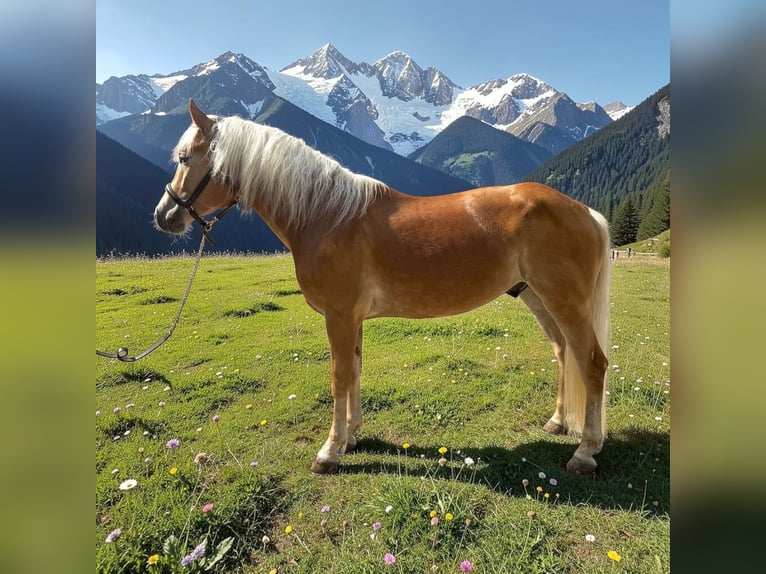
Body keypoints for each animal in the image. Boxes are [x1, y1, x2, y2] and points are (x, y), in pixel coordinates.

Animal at [154, 100, 611, 476]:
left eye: (184, 157)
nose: (164, 215)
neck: (326, 215)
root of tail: (586, 211)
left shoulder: (339, 316)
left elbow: (339, 376)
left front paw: (330, 451)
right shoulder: (352, 319)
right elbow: (354, 370)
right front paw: (352, 435)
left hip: (566, 303)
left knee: (592, 364)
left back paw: (586, 452)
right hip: (538, 299)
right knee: (564, 353)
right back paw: (558, 422)